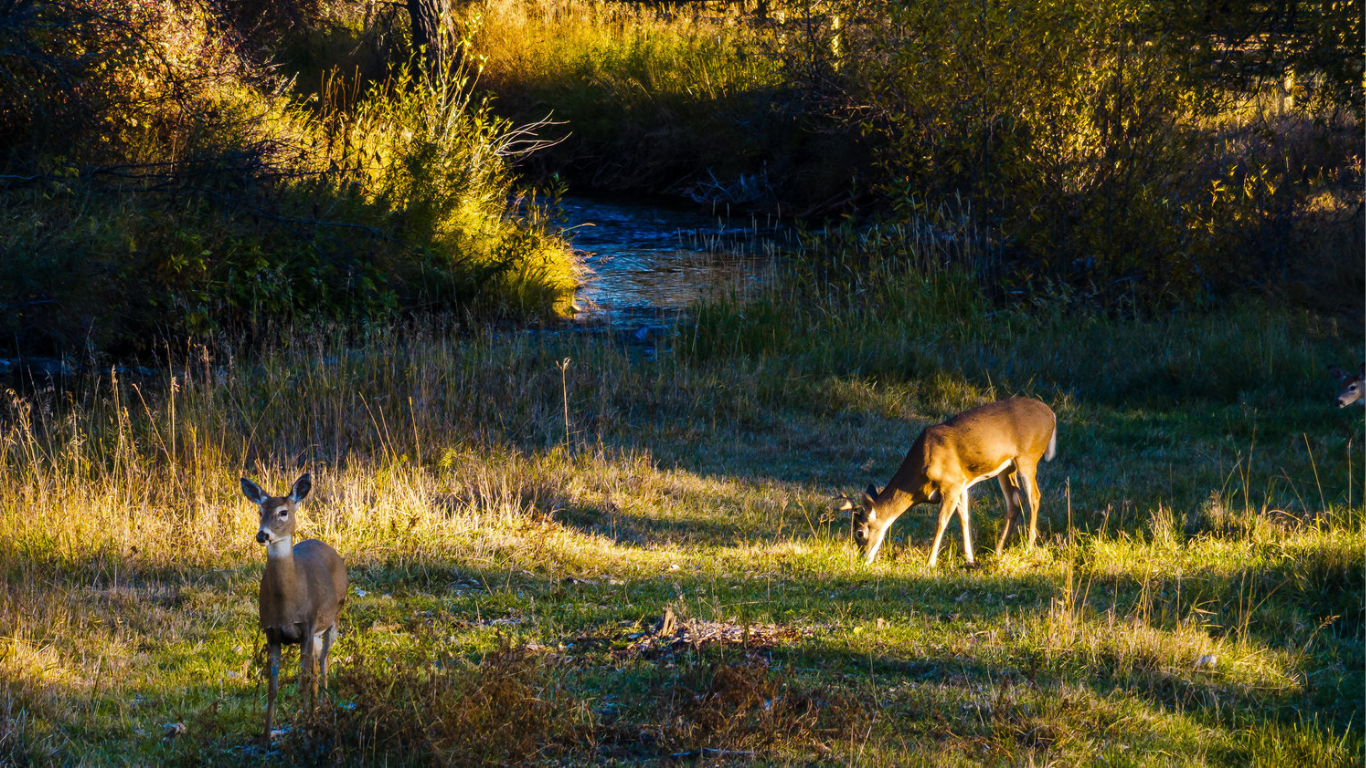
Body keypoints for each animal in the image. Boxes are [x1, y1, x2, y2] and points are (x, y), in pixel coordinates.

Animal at [240, 473, 347, 748]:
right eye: (260, 511)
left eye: (283, 512)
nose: (262, 535)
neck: (287, 601)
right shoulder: (271, 633)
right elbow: (273, 687)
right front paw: (265, 738)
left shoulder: (307, 627)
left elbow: (302, 683)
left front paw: (306, 735)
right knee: (317, 664)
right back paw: (315, 713)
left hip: (334, 617)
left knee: (324, 663)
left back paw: (323, 711)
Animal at [847, 396, 1057, 567]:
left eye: (860, 533)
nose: (862, 558)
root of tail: (1052, 415)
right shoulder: (961, 483)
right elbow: (964, 517)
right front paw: (970, 559)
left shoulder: (952, 483)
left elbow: (941, 521)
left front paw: (930, 562)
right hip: (1006, 468)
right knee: (1014, 501)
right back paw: (997, 550)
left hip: (1028, 457)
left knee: (1034, 497)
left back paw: (1028, 547)